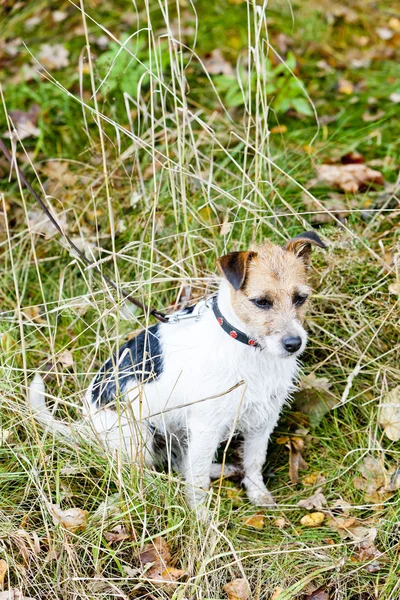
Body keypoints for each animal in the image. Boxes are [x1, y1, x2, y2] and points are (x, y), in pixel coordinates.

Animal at [29, 230, 326, 510]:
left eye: (300, 298)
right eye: (261, 302)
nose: (293, 344)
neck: (247, 345)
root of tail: (86, 423)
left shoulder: (263, 418)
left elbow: (253, 460)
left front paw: (257, 493)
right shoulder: (207, 426)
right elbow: (197, 481)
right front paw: (200, 517)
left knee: (183, 462)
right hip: (139, 436)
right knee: (143, 471)